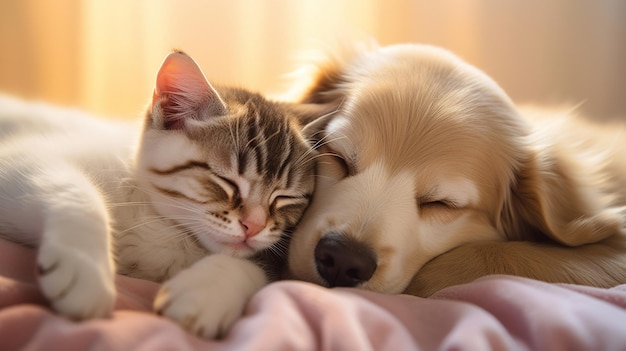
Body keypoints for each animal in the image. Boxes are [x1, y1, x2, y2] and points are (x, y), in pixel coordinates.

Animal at [0, 51, 324, 340]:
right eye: (227, 181)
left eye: (286, 198)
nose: (254, 226)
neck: (166, 227)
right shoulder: (21, 159)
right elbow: (72, 191)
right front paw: (86, 272)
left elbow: (255, 267)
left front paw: (205, 294)